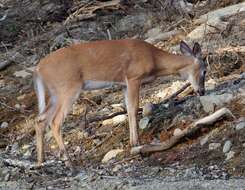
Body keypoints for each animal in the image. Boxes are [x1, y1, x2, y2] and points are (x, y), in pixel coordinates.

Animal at [33, 38, 207, 168]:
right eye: (205, 71)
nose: (202, 91)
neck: (155, 59)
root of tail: (38, 69)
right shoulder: (134, 77)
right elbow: (134, 108)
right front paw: (137, 143)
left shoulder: (124, 84)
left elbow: (129, 109)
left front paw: (132, 143)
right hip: (68, 88)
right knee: (55, 122)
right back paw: (69, 162)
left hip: (55, 94)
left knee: (40, 120)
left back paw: (40, 162)